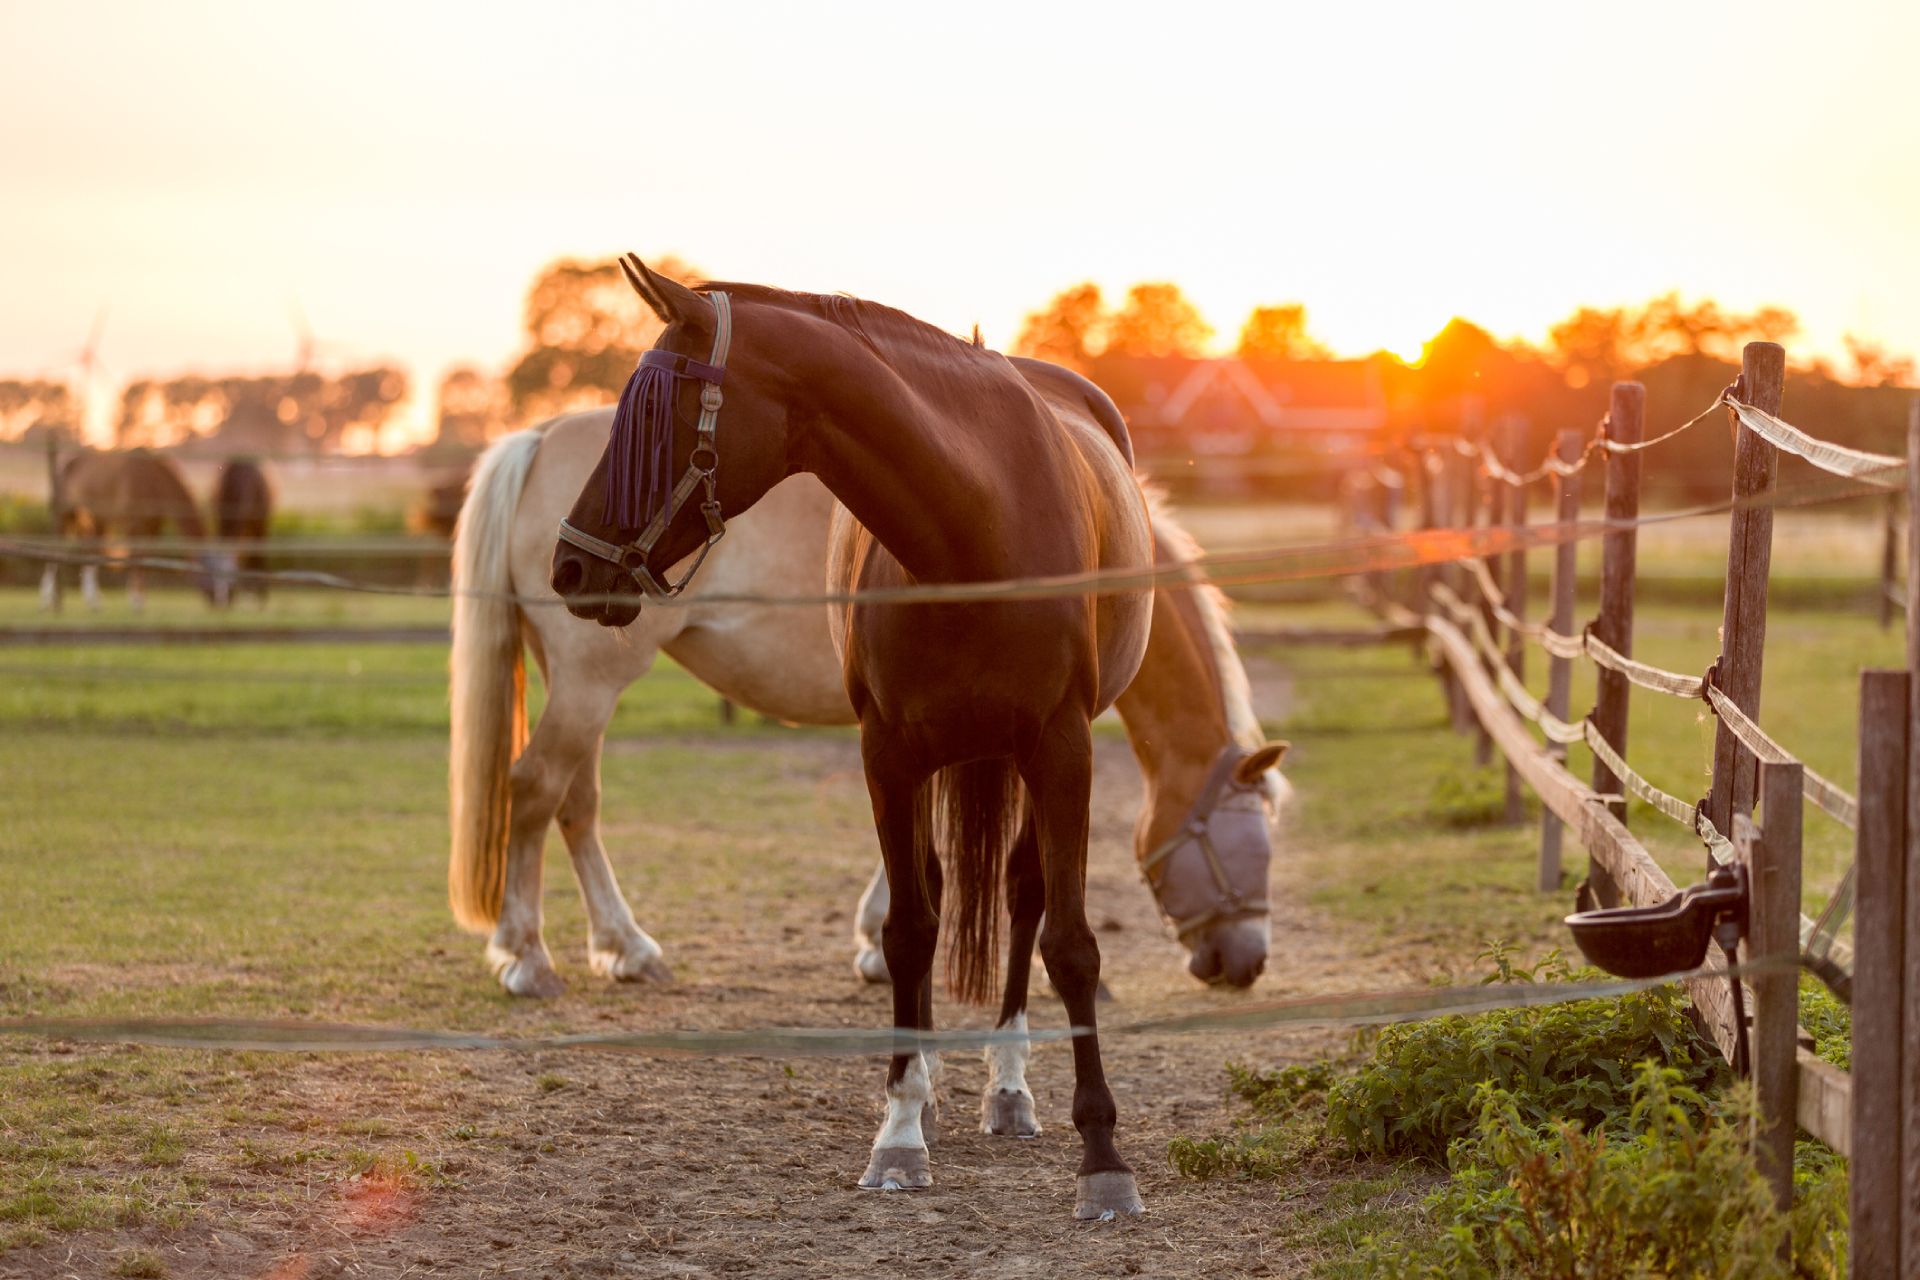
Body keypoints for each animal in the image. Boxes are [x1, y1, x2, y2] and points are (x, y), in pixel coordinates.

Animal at [545, 260, 1182, 1220]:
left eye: (656, 415)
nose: (571, 567)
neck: (975, 526)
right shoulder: (888, 755)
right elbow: (910, 930)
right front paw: (901, 1131)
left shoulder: (1062, 749)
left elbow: (1069, 943)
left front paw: (1103, 1158)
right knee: (946, 895)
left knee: (1023, 898)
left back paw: (1009, 1087)